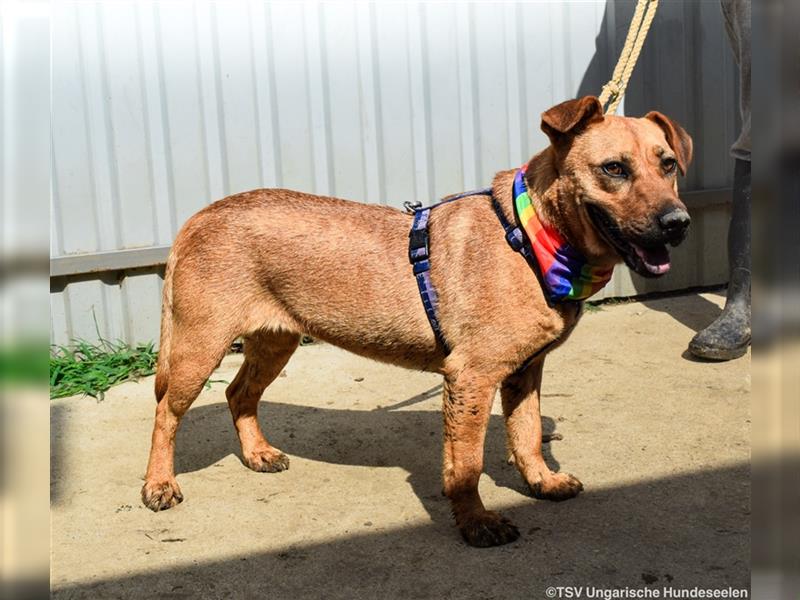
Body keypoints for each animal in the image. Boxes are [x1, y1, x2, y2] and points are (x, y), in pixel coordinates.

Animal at [144, 95, 692, 548]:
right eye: (613, 168)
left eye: (668, 164)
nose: (679, 224)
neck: (531, 235)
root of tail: (198, 216)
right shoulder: (470, 378)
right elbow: (467, 464)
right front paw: (476, 523)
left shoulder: (524, 372)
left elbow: (528, 433)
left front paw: (541, 482)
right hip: (198, 348)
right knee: (166, 413)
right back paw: (158, 484)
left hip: (275, 341)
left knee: (240, 394)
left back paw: (257, 454)